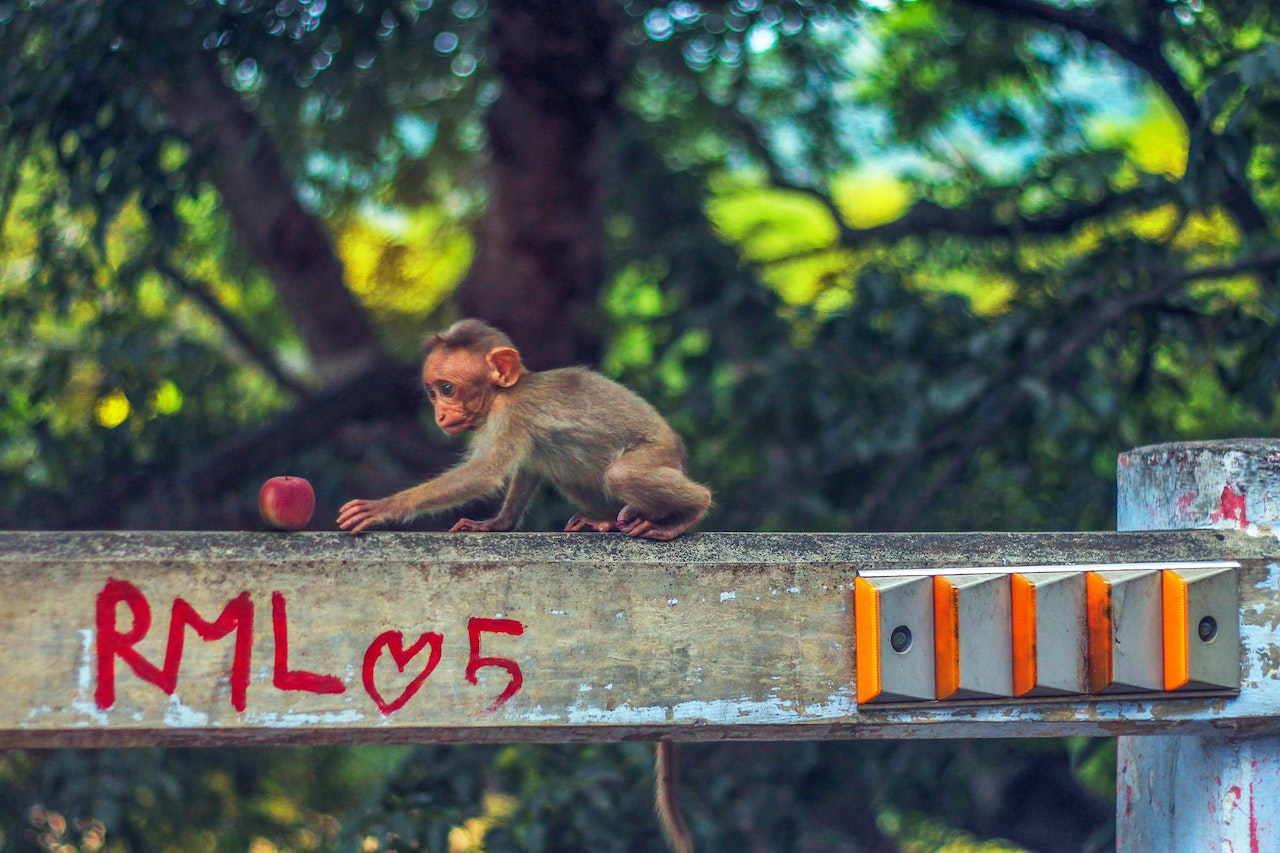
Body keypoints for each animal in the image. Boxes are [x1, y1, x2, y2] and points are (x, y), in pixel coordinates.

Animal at [337, 318, 711, 537]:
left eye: (447, 389)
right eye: (432, 393)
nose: (440, 415)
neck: (503, 392)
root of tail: (677, 448)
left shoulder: (511, 414)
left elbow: (484, 473)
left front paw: (385, 508)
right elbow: (528, 468)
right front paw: (496, 523)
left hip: (659, 452)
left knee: (621, 474)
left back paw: (689, 513)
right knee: (562, 466)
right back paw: (606, 520)